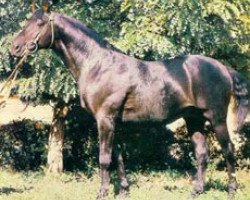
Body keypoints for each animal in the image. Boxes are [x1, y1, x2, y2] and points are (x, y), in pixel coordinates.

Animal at [10, 7, 249, 198]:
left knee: (228, 149)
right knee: (201, 153)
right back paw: (196, 191)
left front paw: (102, 193)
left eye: (40, 23)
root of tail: (223, 68)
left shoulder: (105, 120)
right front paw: (123, 190)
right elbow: (118, 157)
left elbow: (104, 158)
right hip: (194, 119)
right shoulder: (114, 122)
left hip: (216, 119)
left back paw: (231, 190)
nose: (15, 48)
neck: (98, 65)